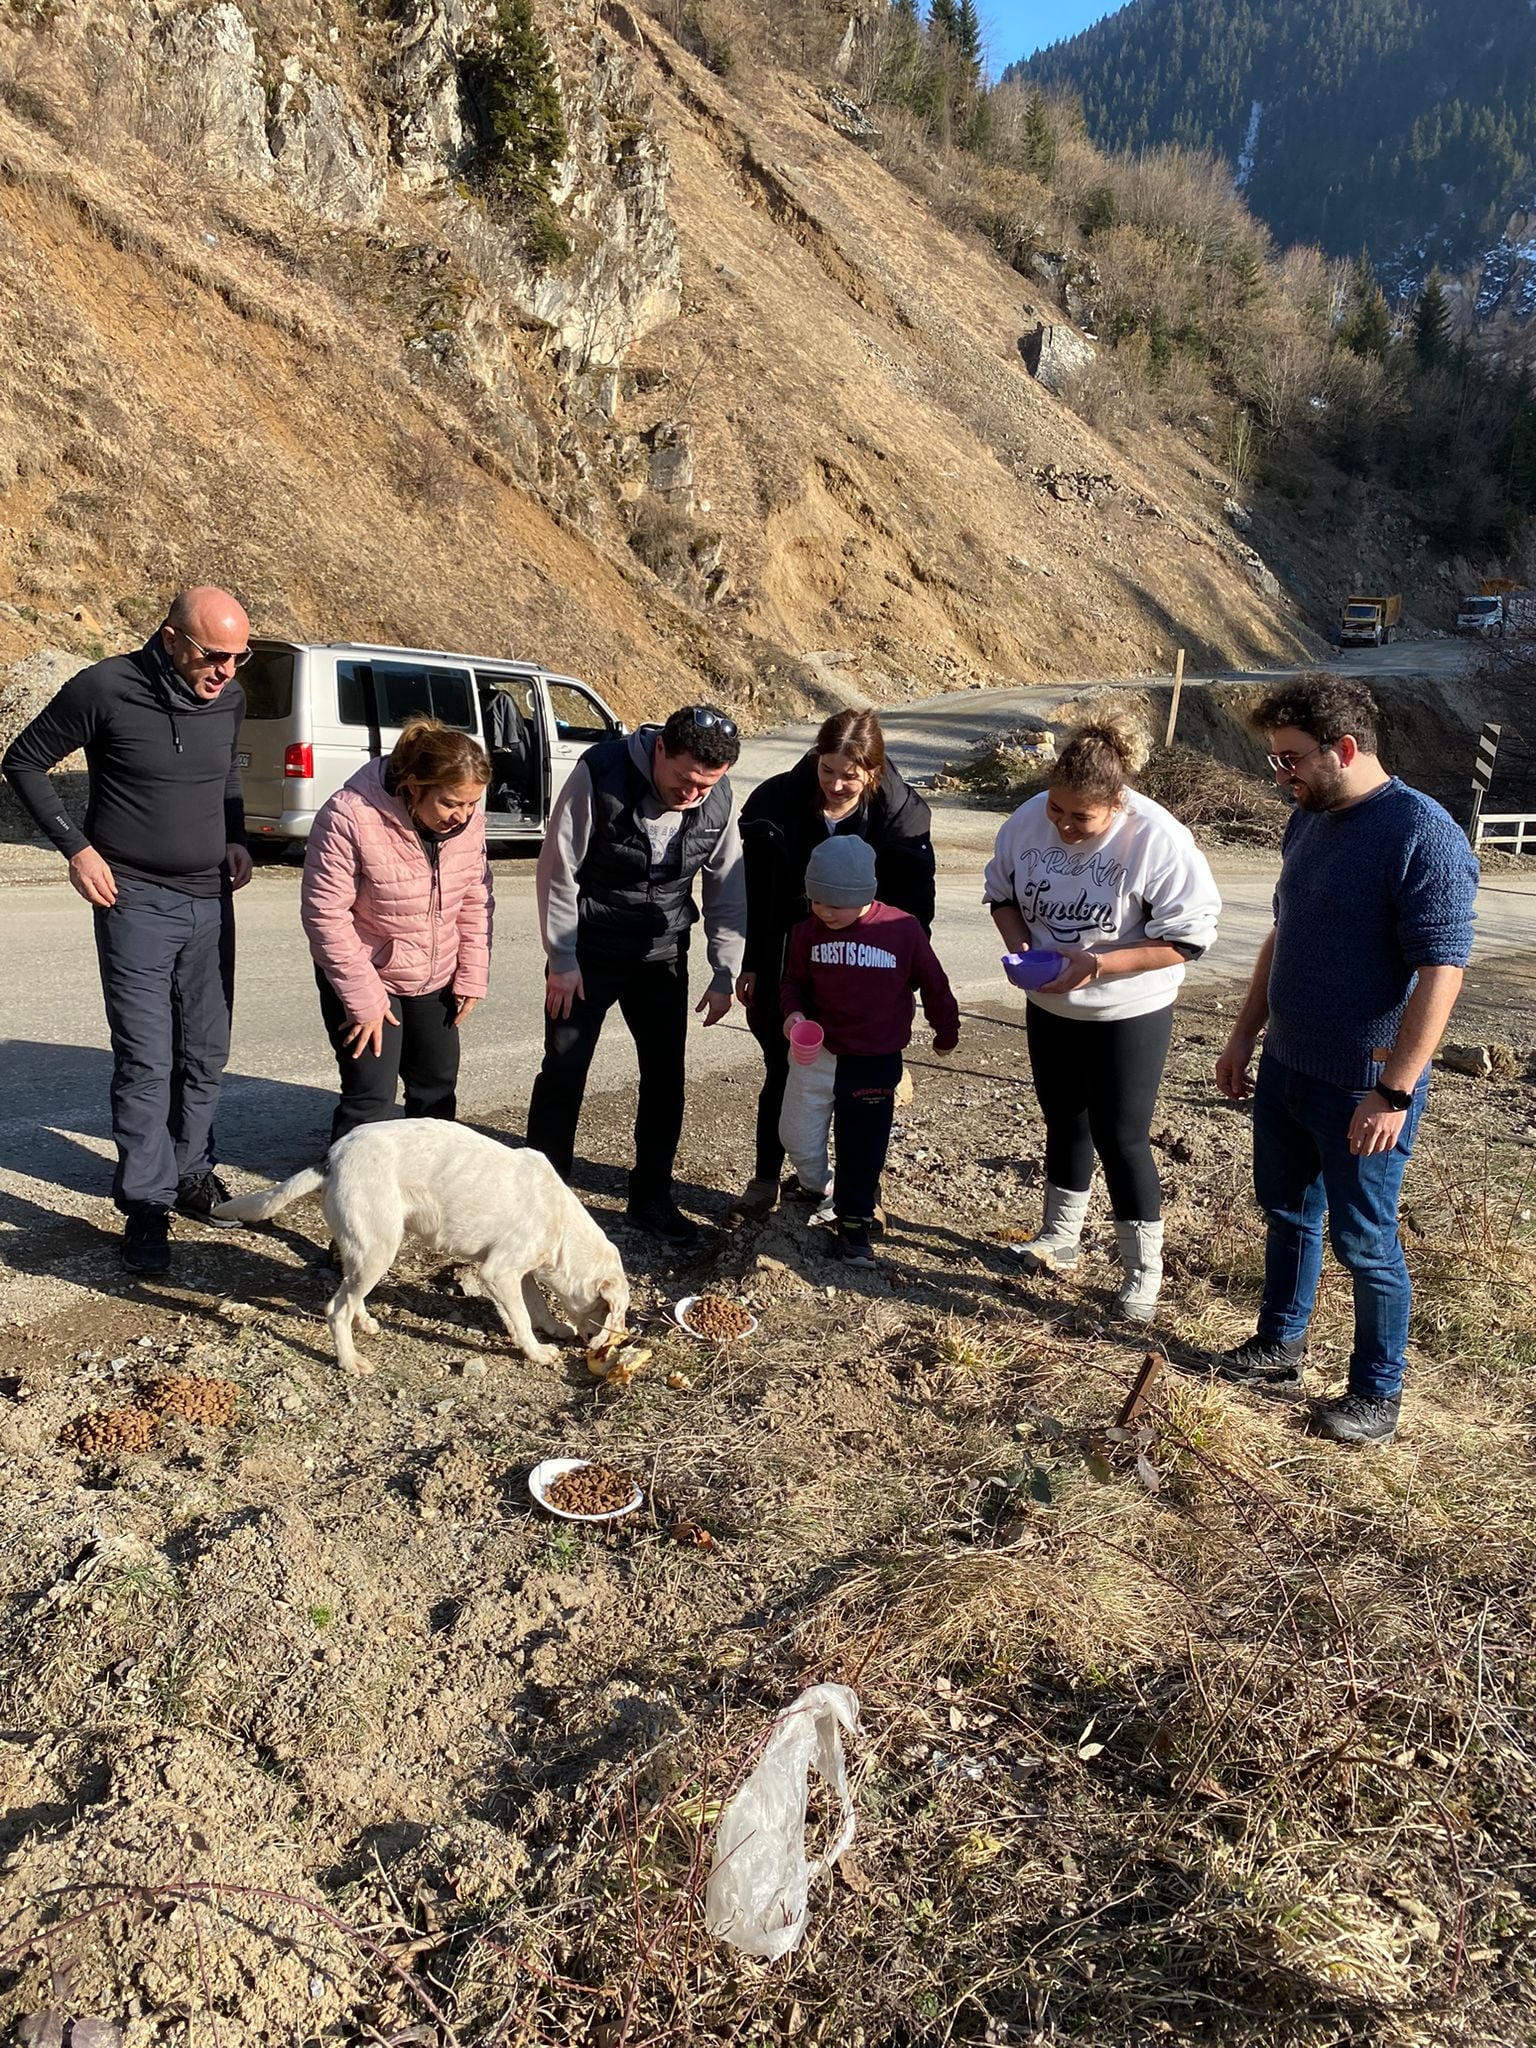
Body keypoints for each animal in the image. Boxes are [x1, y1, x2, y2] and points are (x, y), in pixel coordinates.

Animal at [210, 1122, 630, 1376]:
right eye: (615, 1313)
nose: (619, 1341)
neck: (561, 1226)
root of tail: (333, 1156)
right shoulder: (497, 1273)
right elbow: (523, 1319)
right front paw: (537, 1351)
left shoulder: (517, 1272)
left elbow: (536, 1305)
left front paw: (553, 1327)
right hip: (379, 1249)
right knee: (336, 1308)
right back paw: (349, 1360)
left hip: (364, 1250)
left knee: (351, 1293)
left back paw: (365, 1321)